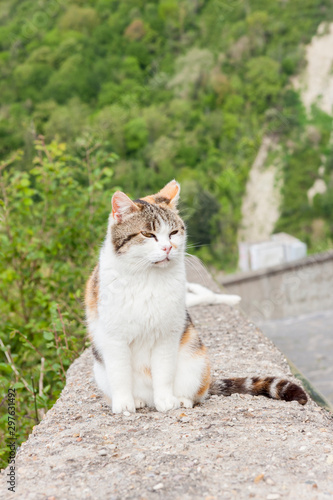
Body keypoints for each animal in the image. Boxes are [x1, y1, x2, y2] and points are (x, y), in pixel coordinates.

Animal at [85, 180, 306, 414]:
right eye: (147, 234)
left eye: (173, 232)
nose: (168, 247)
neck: (147, 277)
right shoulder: (114, 336)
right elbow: (120, 373)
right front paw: (124, 403)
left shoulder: (167, 332)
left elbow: (163, 372)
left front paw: (166, 400)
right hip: (100, 369)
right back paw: (137, 400)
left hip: (196, 362)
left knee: (198, 392)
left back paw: (181, 399)